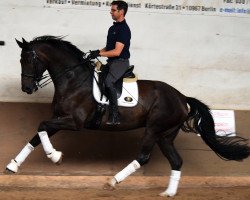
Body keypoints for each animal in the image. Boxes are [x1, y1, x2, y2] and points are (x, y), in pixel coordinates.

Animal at [4, 36, 249, 197]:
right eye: (20, 60)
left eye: (29, 59)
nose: (27, 88)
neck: (73, 79)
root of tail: (182, 98)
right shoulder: (60, 118)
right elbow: (38, 133)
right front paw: (13, 166)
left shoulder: (74, 122)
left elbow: (41, 126)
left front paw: (55, 156)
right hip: (165, 135)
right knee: (176, 161)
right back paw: (168, 193)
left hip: (153, 130)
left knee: (143, 157)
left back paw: (113, 181)